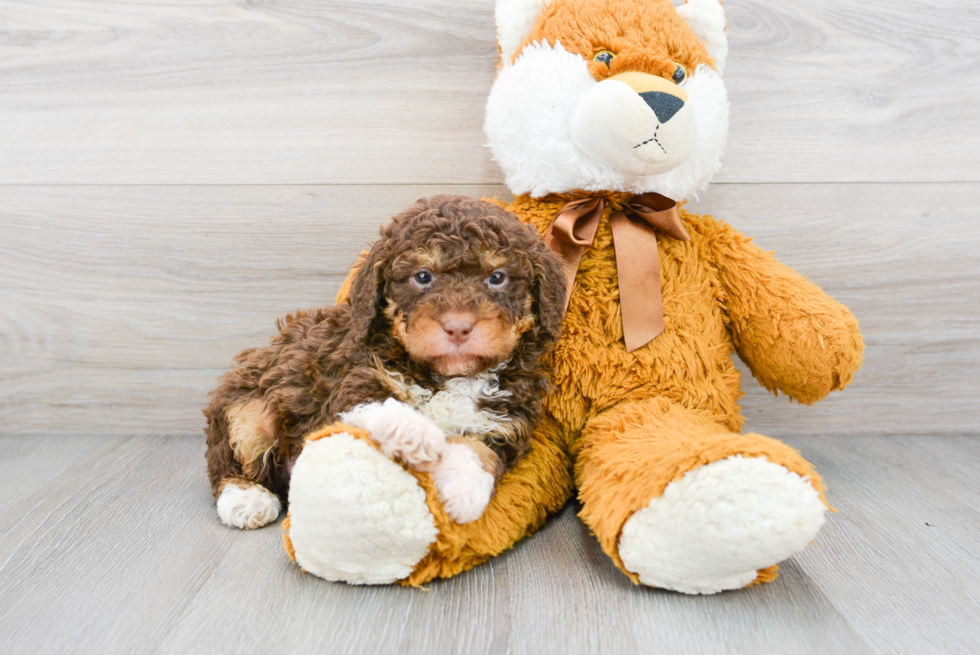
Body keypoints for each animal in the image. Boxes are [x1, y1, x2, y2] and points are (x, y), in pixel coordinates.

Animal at [203, 195, 568, 528]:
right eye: (423, 276)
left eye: (497, 277)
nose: (458, 326)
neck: (447, 375)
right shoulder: (352, 382)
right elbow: (385, 403)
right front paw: (415, 435)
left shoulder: (504, 421)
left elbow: (480, 451)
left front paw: (464, 490)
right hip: (249, 405)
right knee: (228, 457)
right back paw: (247, 498)